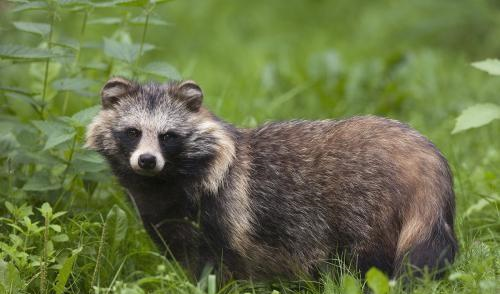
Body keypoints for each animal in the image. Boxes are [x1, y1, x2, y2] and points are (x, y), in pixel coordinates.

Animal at [86, 77, 458, 280]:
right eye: (133, 132)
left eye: (168, 136)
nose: (147, 160)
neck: (164, 183)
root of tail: (426, 158)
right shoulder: (166, 218)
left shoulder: (221, 211)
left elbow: (220, 268)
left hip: (368, 206)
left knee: (372, 264)